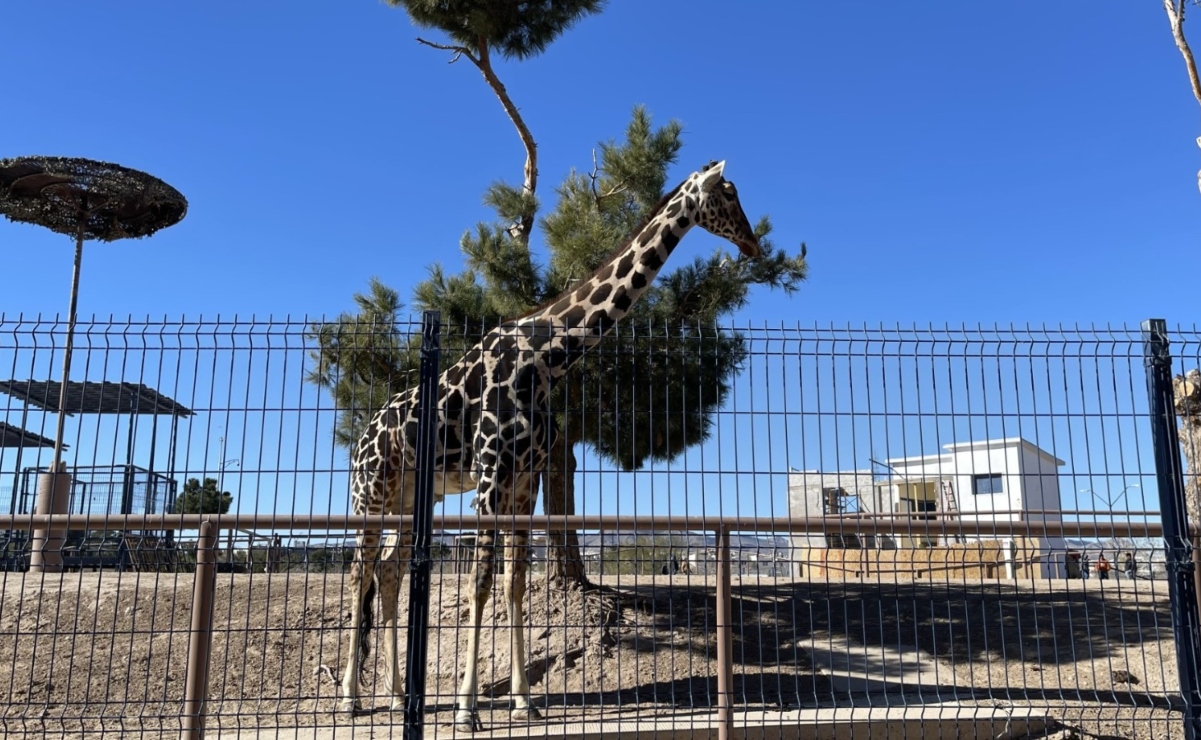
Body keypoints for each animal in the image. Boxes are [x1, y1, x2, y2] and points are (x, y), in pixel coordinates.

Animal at [338, 158, 759, 730]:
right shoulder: (490, 477)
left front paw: (523, 701)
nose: (754, 246)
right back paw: (350, 698)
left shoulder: (526, 481)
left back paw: (399, 695)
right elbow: (480, 583)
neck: (545, 360)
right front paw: (468, 710)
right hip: (371, 494)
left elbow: (514, 583)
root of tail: (360, 438)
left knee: (388, 572)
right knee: (359, 570)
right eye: (729, 194)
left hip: (408, 500)